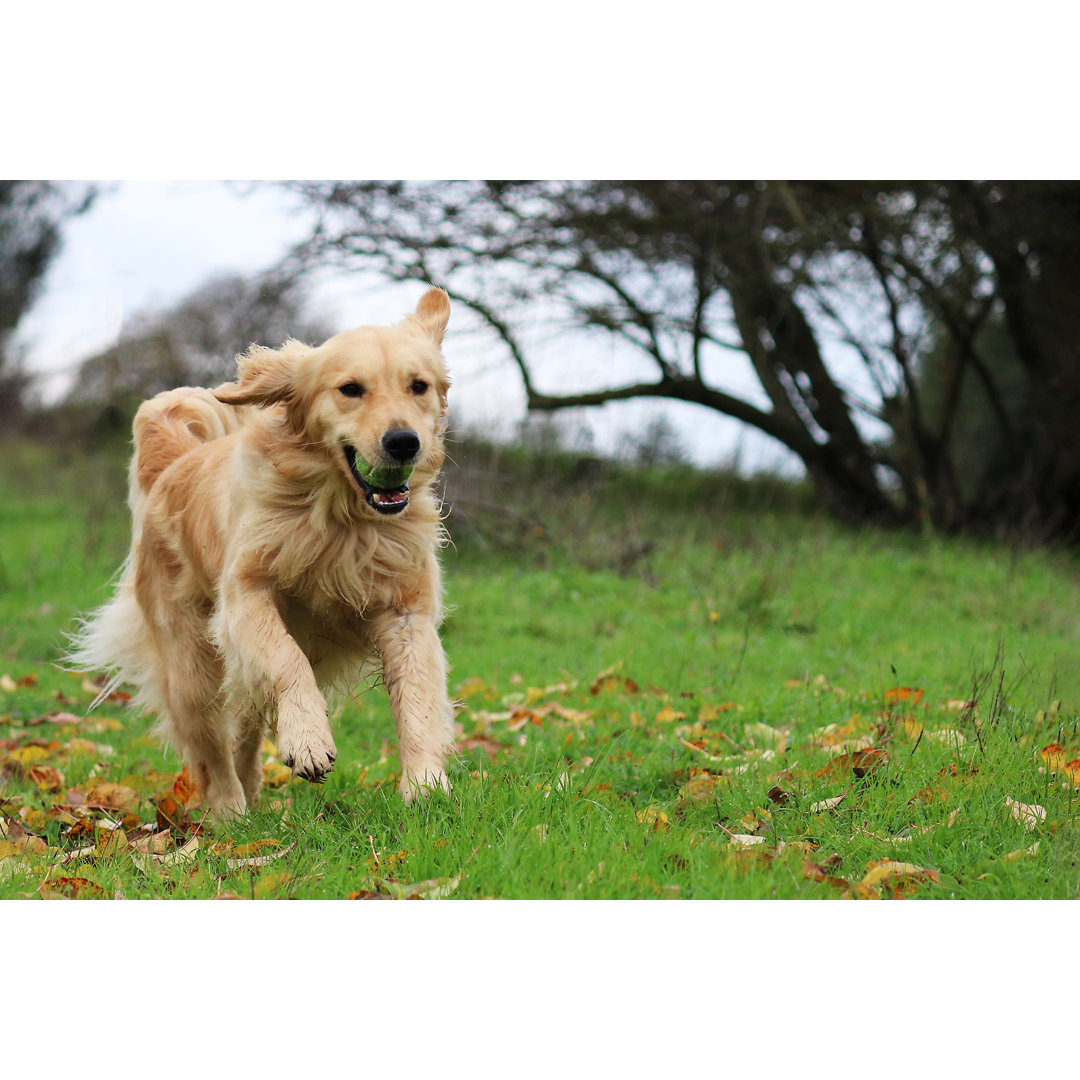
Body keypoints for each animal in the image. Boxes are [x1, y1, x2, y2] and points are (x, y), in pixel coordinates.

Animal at [67, 287, 455, 816]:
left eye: (418, 386)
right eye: (350, 389)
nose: (403, 442)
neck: (341, 518)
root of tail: (173, 464)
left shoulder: (405, 611)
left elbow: (417, 696)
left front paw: (424, 785)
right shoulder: (245, 597)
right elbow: (287, 658)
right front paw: (309, 740)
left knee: (245, 732)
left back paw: (253, 795)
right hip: (191, 666)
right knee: (211, 750)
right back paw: (230, 814)